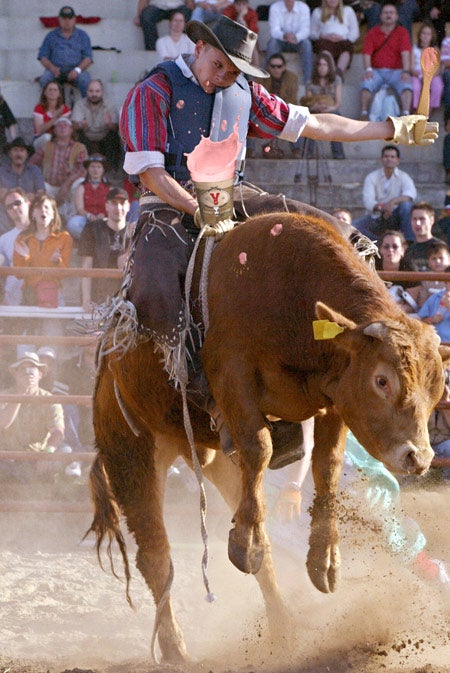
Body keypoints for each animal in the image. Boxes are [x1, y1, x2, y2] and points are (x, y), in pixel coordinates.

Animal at [88, 210, 450, 660]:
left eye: (437, 388)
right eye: (381, 380)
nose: (418, 458)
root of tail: (107, 368)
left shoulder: (334, 398)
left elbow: (326, 465)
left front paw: (324, 560)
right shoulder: (234, 376)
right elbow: (260, 446)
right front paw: (246, 546)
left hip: (214, 457)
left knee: (254, 523)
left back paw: (283, 629)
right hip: (131, 449)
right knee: (156, 556)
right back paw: (175, 648)